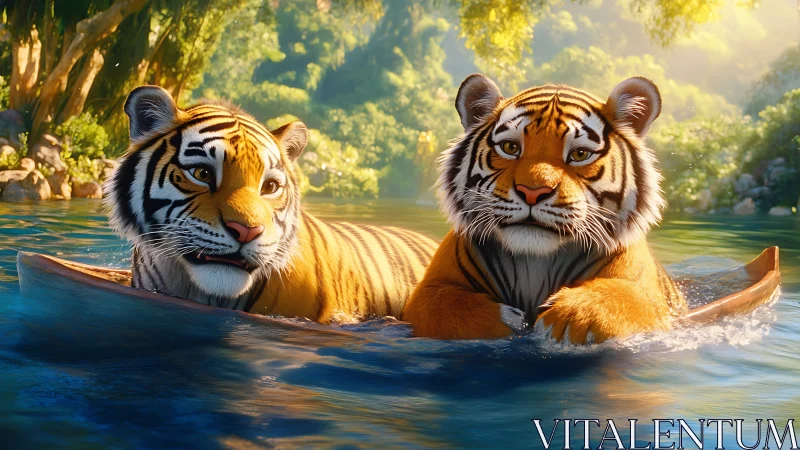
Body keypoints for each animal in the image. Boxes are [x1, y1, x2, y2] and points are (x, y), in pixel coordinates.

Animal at [402, 75, 686, 343]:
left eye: (579, 154)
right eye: (510, 147)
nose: (532, 191)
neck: (535, 264)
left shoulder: (646, 293)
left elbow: (623, 302)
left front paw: (568, 318)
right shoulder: (431, 287)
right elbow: (445, 307)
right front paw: (508, 322)